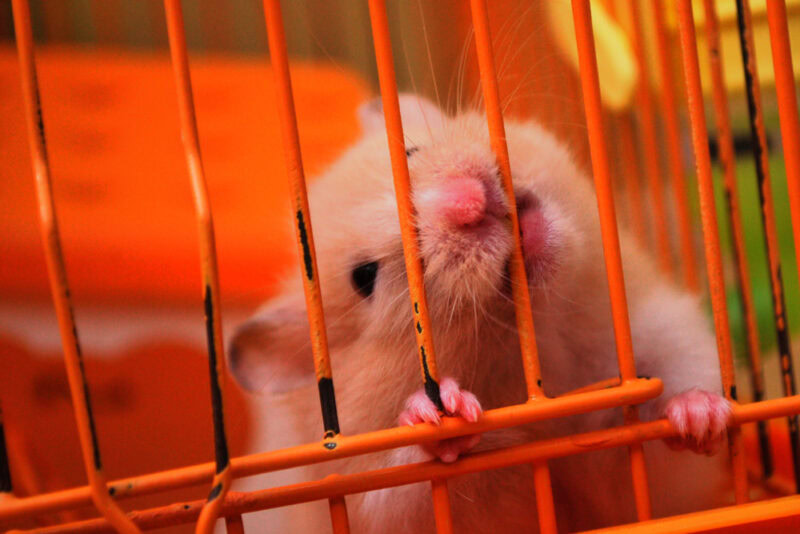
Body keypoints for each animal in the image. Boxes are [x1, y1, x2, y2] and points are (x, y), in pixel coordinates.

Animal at [228, 94, 733, 533]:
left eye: (410, 150)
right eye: (364, 278)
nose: (468, 202)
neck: (549, 350)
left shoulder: (665, 340)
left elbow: (666, 427)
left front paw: (702, 414)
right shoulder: (389, 504)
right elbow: (416, 485)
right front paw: (443, 411)